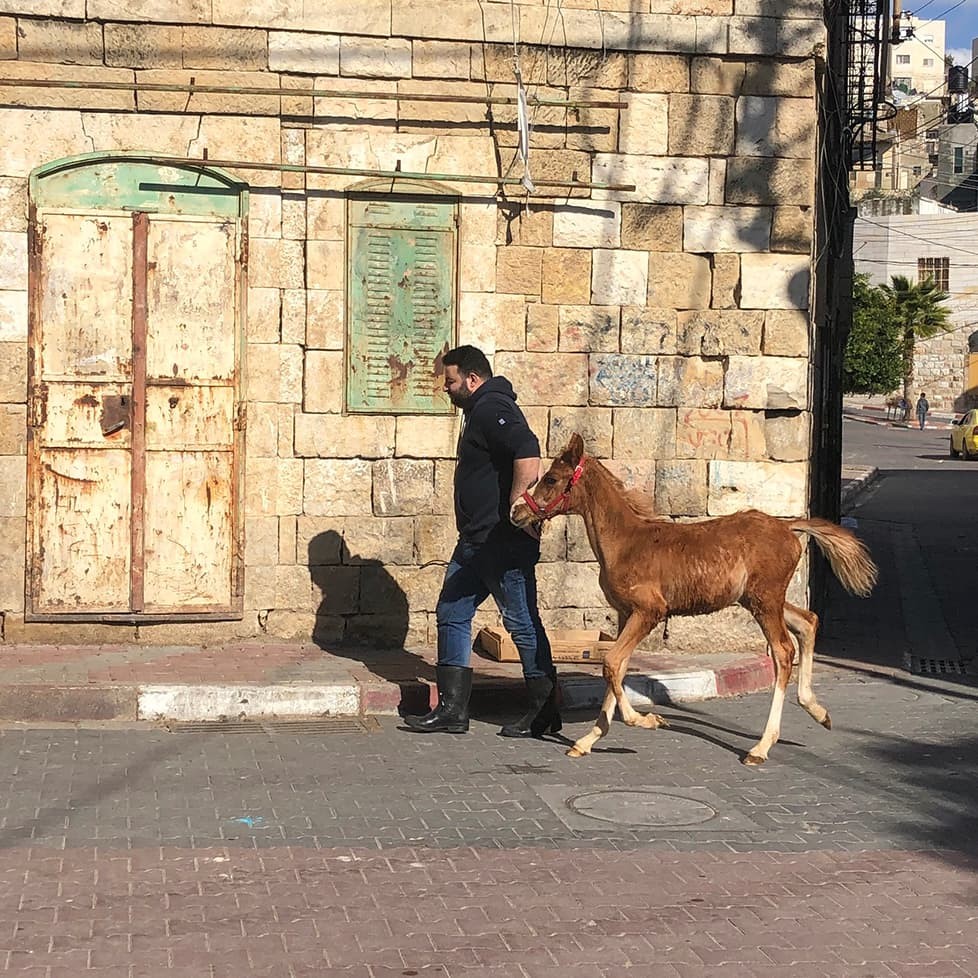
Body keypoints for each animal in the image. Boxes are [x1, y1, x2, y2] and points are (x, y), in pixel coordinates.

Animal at [510, 432, 876, 764]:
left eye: (551, 479)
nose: (516, 512)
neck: (626, 542)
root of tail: (788, 528)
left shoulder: (650, 611)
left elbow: (612, 662)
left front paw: (648, 720)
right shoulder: (627, 613)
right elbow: (618, 667)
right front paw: (588, 740)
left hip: (765, 599)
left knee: (784, 652)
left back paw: (761, 747)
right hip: (760, 599)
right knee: (808, 622)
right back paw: (818, 710)